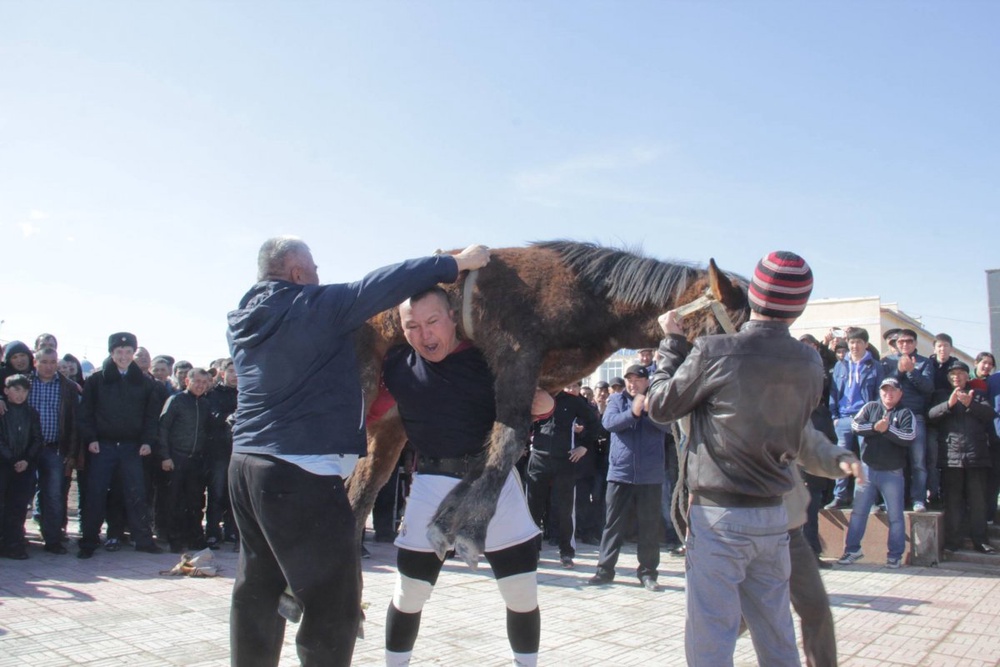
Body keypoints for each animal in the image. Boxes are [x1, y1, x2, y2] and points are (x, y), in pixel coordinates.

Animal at [348, 240, 748, 564]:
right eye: (727, 327)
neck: (589, 299)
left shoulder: (537, 385)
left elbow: (489, 450)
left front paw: (452, 519)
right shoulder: (516, 356)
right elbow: (508, 444)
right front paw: (469, 530)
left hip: (390, 427)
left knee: (358, 493)